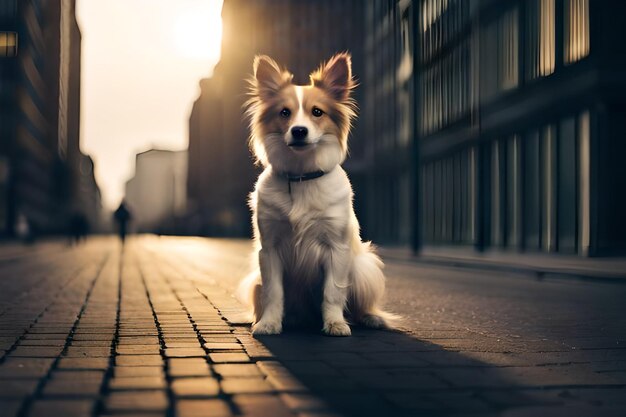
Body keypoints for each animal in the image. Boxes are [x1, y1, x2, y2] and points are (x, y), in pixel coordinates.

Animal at [236, 52, 392, 336]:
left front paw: (335, 323)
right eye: (284, 112)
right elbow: (273, 293)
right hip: (255, 280)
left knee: (359, 304)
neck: (300, 177)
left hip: (363, 269)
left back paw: (370, 318)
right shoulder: (270, 250)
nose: (299, 130)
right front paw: (269, 323)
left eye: (317, 112)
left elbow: (333, 292)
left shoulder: (336, 249)